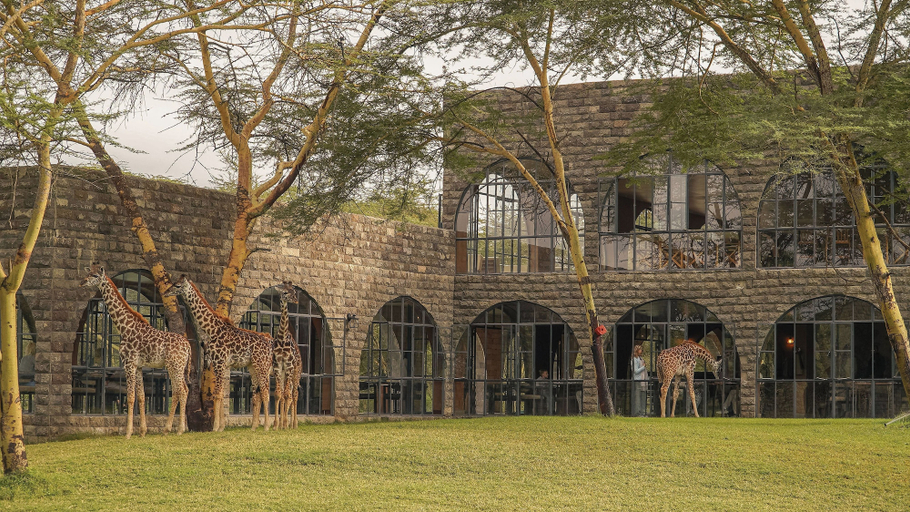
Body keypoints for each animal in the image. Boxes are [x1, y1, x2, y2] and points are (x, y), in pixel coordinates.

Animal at [80, 264, 191, 439]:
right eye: (89, 272)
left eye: (95, 275)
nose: (82, 282)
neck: (124, 327)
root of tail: (188, 346)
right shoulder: (138, 366)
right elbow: (141, 397)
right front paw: (142, 432)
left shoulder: (129, 363)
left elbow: (130, 397)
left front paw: (128, 433)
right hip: (174, 367)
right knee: (179, 391)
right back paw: (168, 429)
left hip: (176, 366)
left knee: (182, 390)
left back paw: (179, 429)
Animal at [165, 275, 273, 432]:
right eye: (173, 283)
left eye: (177, 285)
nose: (166, 292)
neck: (212, 328)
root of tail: (270, 342)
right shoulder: (219, 364)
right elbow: (221, 393)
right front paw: (221, 426)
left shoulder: (220, 362)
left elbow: (217, 394)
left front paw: (215, 427)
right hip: (253, 366)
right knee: (257, 393)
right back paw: (253, 427)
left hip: (262, 365)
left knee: (265, 391)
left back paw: (267, 426)